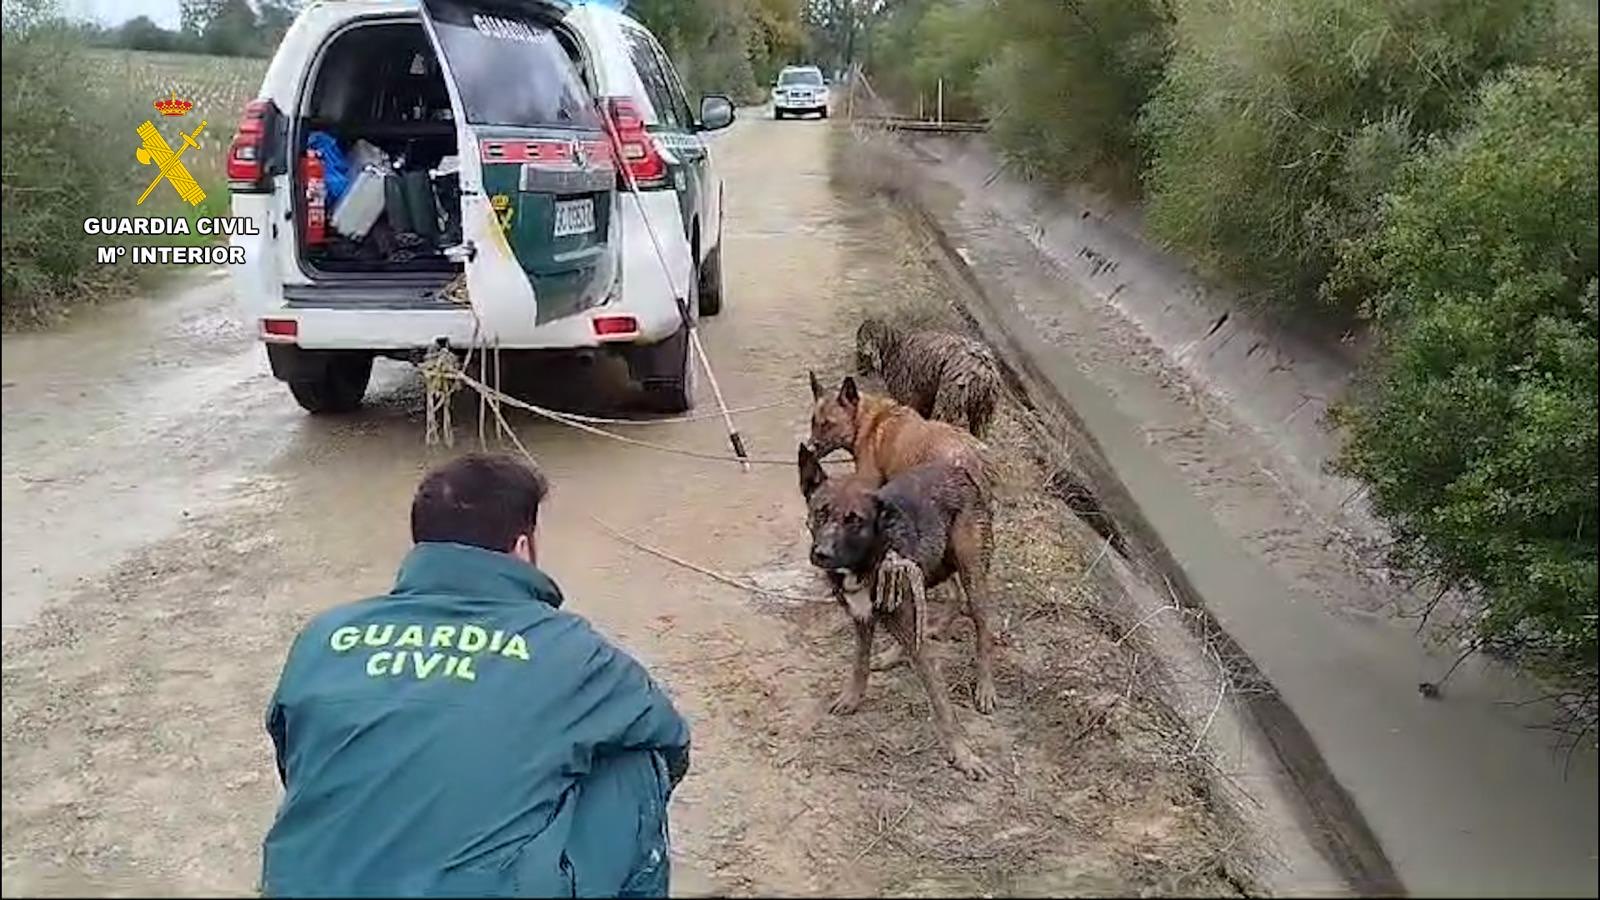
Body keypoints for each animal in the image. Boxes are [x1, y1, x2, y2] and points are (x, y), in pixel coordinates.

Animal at [800, 441, 998, 778]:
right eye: (820, 513)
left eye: (854, 520)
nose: (821, 553)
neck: (870, 558)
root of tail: (958, 468)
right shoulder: (861, 617)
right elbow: (859, 663)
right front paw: (852, 698)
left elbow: (942, 704)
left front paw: (963, 755)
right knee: (944, 603)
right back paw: (900, 650)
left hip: (972, 574)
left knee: (982, 628)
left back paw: (985, 687)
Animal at [857, 317, 992, 435]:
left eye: (860, 351)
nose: (858, 370)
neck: (893, 350)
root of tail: (984, 372)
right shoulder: (924, 399)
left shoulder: (909, 397)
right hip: (981, 414)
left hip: (949, 404)